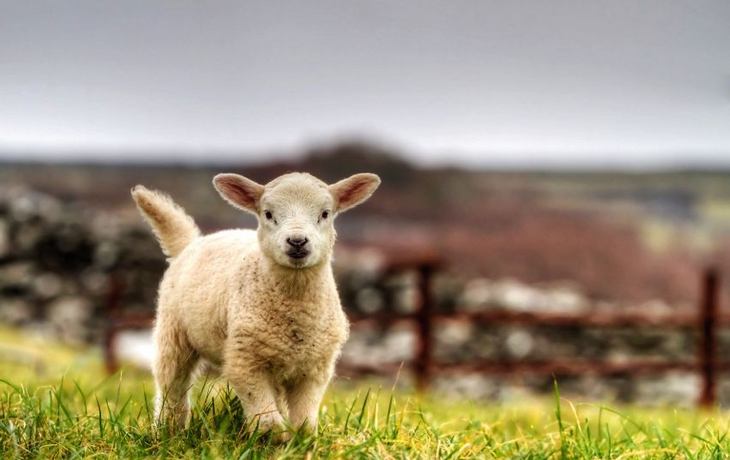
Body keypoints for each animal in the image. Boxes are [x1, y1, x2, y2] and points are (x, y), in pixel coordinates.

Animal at [130, 172, 380, 440]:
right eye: (268, 214)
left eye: (325, 213)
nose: (297, 241)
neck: (295, 311)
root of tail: (191, 243)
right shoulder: (245, 360)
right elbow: (268, 421)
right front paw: (274, 440)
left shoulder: (315, 368)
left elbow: (304, 423)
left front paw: (298, 442)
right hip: (173, 333)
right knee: (172, 384)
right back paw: (169, 432)